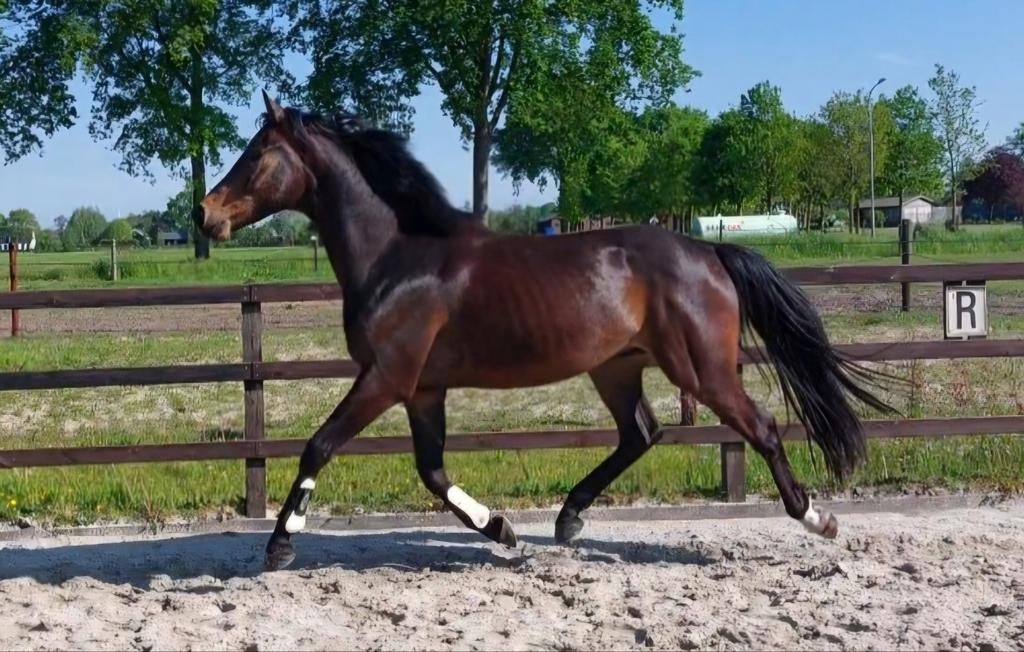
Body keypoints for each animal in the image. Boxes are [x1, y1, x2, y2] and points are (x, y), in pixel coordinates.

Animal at [195, 91, 896, 571]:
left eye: (257, 153)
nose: (205, 214)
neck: (399, 255)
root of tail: (709, 251)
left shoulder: (386, 376)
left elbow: (319, 446)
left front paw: (280, 544)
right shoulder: (422, 388)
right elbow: (432, 472)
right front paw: (502, 529)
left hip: (703, 369)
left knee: (762, 428)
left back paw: (818, 517)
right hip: (616, 366)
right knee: (642, 433)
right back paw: (567, 518)